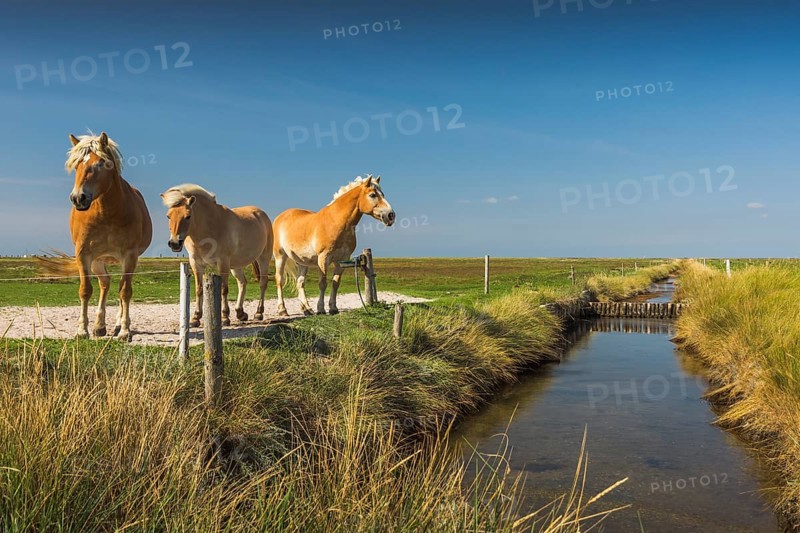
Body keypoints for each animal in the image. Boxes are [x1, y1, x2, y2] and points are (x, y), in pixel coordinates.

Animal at [40, 132, 153, 340]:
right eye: (76, 164)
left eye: (101, 163)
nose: (78, 198)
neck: (105, 213)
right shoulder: (84, 254)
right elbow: (86, 290)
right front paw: (82, 330)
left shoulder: (129, 256)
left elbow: (125, 292)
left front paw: (125, 331)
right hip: (98, 260)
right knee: (105, 283)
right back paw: (100, 326)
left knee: (120, 288)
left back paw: (118, 324)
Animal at [161, 184, 273, 327]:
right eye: (168, 216)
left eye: (188, 216)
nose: (174, 243)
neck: (209, 227)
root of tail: (261, 214)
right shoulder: (196, 263)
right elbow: (199, 289)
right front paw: (195, 318)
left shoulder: (223, 263)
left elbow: (223, 289)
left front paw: (225, 317)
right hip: (236, 266)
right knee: (242, 283)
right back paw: (240, 313)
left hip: (263, 258)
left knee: (263, 283)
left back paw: (258, 313)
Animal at [272, 175, 395, 316]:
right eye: (372, 195)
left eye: (383, 194)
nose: (391, 215)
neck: (336, 222)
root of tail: (280, 217)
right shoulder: (323, 258)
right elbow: (322, 283)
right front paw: (321, 309)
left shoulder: (341, 260)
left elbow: (335, 283)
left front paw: (333, 308)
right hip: (280, 256)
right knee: (279, 280)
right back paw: (282, 310)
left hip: (302, 261)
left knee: (300, 283)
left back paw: (307, 309)